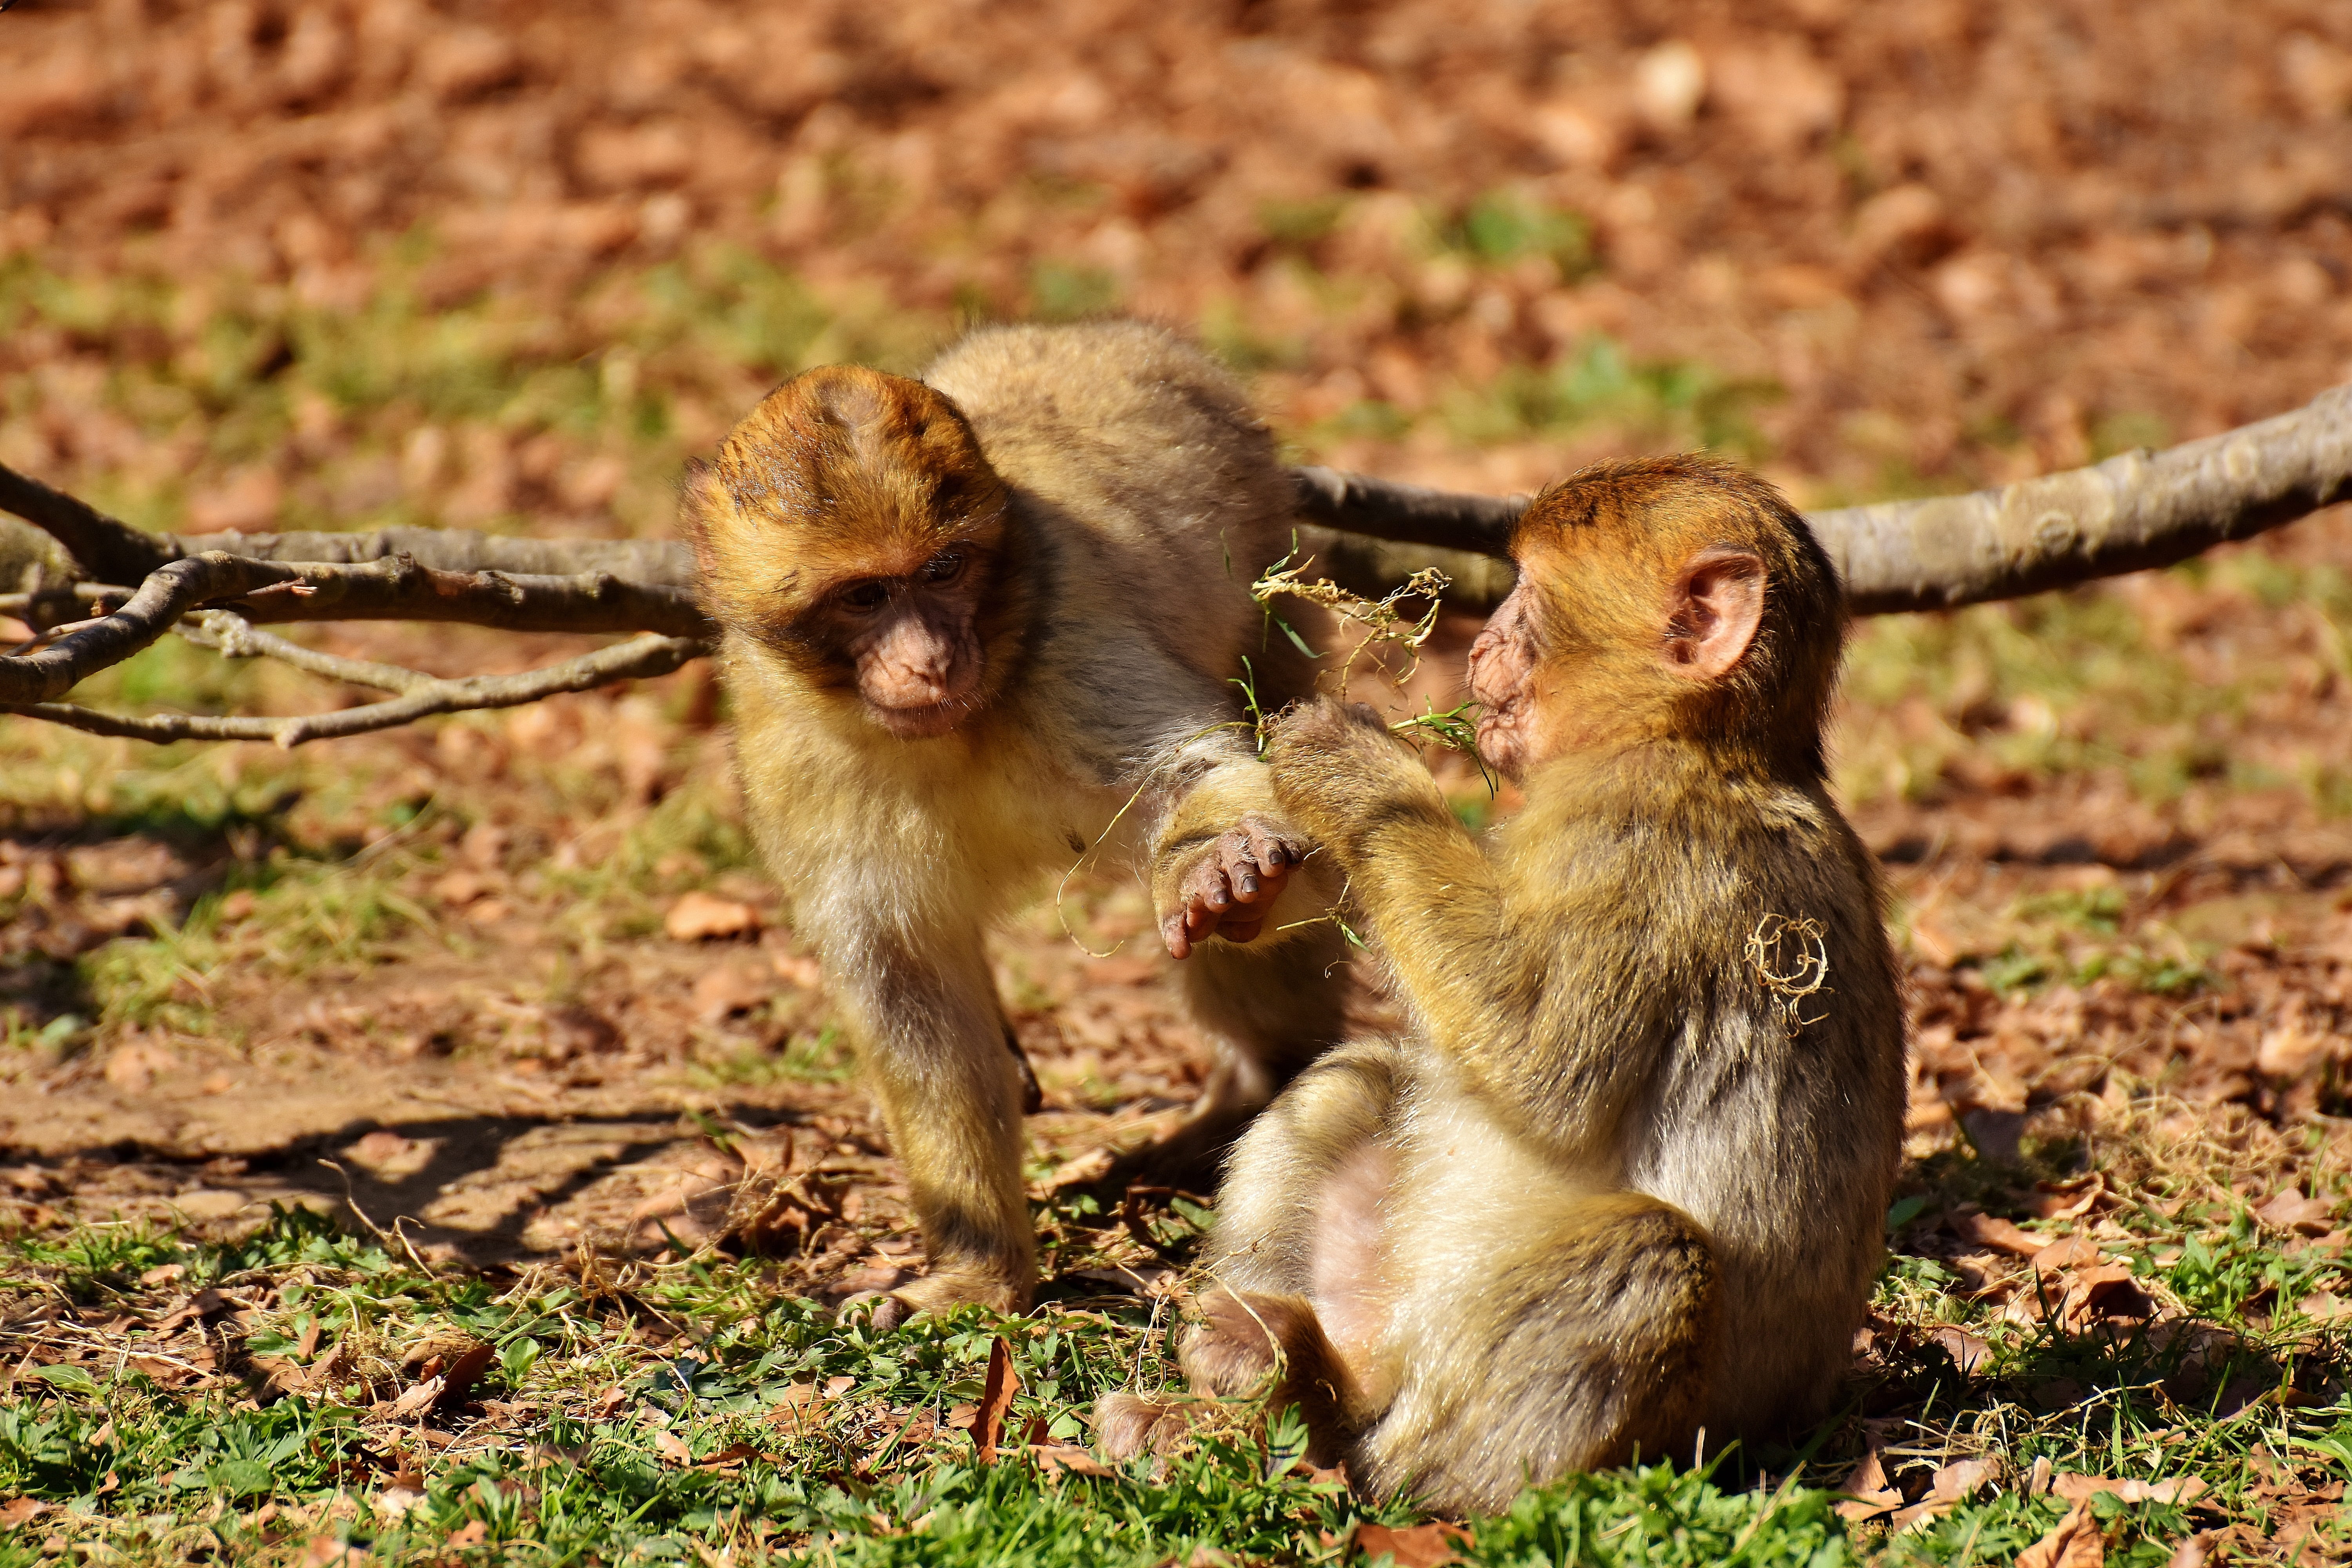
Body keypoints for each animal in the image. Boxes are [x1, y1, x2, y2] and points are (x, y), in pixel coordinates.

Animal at [684, 321, 1352, 1321]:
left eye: (943, 570)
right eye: (865, 597)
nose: (929, 657)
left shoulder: (1070, 646)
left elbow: (1213, 783)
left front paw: (1226, 874)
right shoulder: (789, 755)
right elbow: (908, 986)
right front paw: (979, 1266)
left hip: (1276, 593)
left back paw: (1263, 1084)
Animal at [1097, 455, 1907, 1515]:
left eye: (1526, 595)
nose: (1479, 642)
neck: (1690, 743)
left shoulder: (1639, 848)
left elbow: (1544, 1065)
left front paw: (1360, 770)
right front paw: (1229, 875)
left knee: (1650, 1251)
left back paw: (1330, 1426)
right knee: (1355, 1079)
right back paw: (1229, 1393)